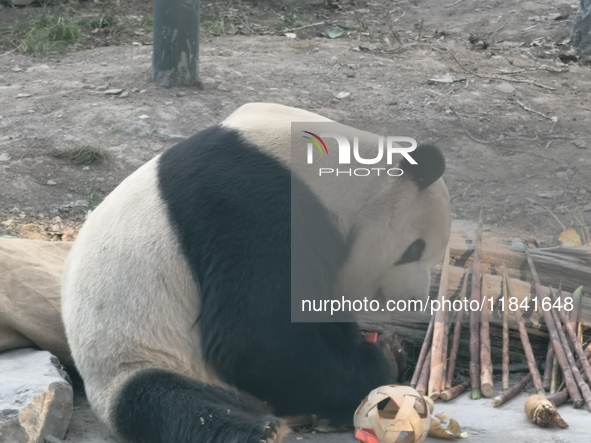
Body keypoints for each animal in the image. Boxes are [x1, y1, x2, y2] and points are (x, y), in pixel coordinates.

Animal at [60, 103, 450, 443]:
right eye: (415, 249)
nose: (413, 300)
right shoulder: (250, 205)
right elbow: (254, 339)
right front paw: (381, 362)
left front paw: (387, 349)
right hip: (137, 356)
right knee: (165, 403)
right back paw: (261, 430)